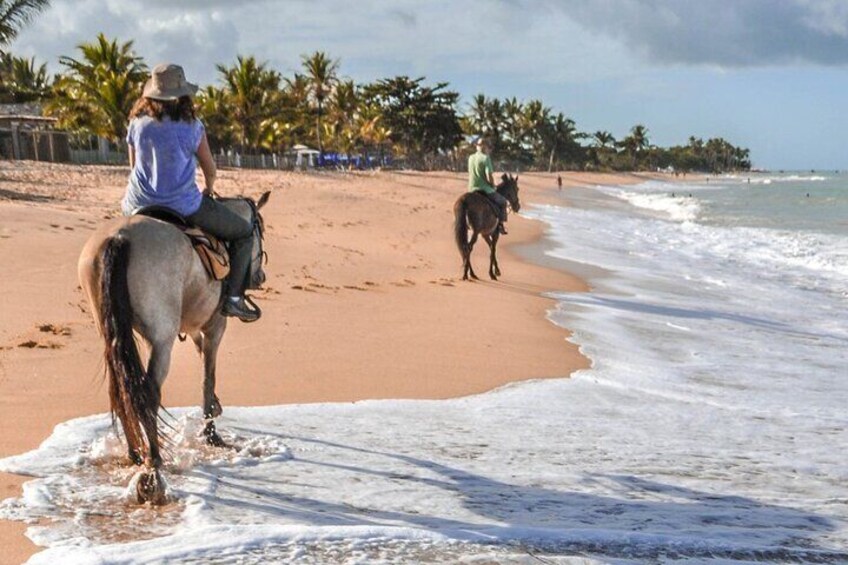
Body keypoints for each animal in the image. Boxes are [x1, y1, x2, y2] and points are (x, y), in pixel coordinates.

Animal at [77, 192, 268, 504]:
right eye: (259, 231)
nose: (260, 277)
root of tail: (119, 237)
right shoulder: (215, 326)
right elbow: (207, 376)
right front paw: (212, 434)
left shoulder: (192, 326)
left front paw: (215, 409)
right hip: (161, 337)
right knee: (149, 392)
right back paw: (153, 465)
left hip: (109, 330)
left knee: (120, 387)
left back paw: (135, 453)